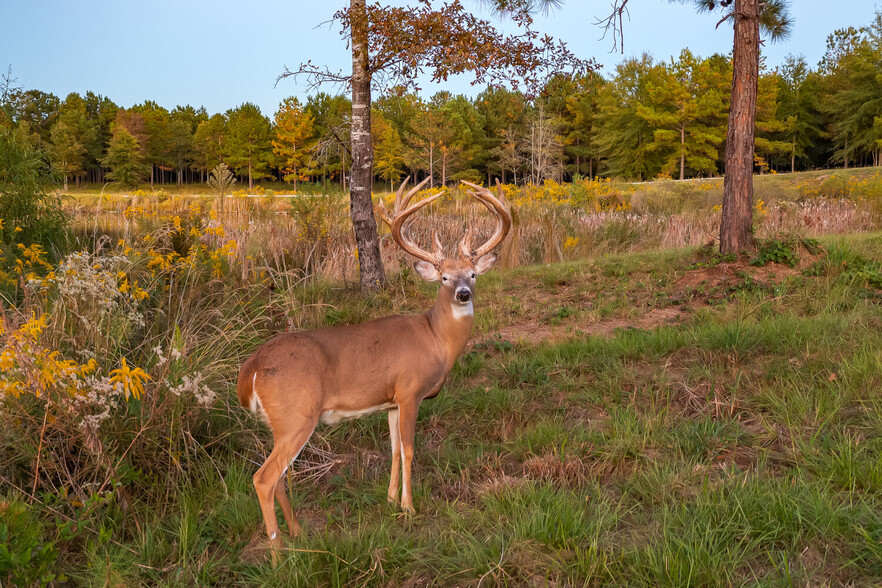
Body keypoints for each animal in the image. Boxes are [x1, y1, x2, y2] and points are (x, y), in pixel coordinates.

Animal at [235, 177, 508, 560]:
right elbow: (408, 448)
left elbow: (392, 448)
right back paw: (278, 555)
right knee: (264, 478)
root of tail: (251, 370)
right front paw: (409, 507)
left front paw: (391, 499)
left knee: (277, 479)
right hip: (296, 415)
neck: (435, 338)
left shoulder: (390, 400)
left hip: (281, 423)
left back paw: (299, 532)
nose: (464, 293)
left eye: (471, 274)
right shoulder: (410, 391)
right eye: (443, 278)